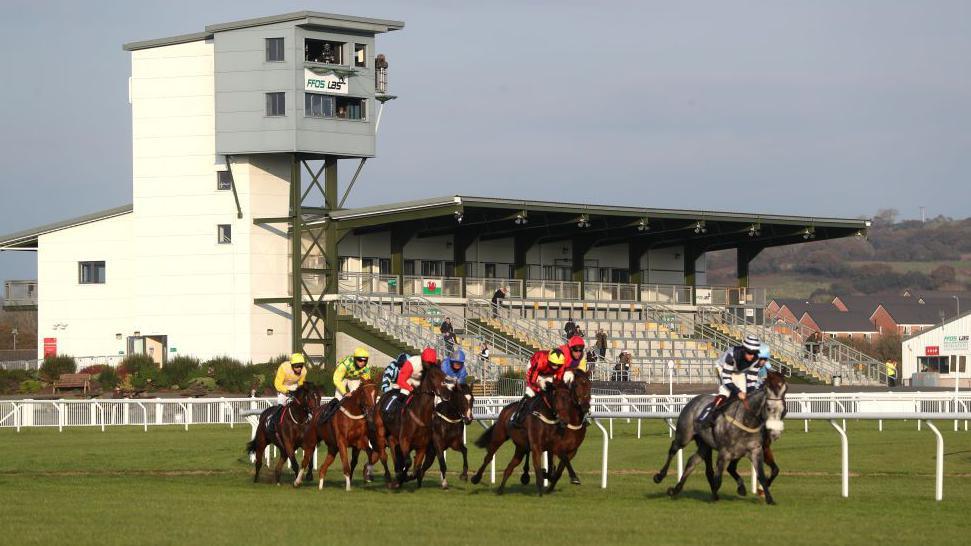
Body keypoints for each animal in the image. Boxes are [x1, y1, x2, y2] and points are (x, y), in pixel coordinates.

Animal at [652, 370, 788, 502]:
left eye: (784, 410)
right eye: (769, 408)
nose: (775, 434)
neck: (746, 419)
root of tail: (695, 399)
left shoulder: (756, 450)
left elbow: (763, 474)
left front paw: (768, 497)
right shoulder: (725, 452)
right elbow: (719, 478)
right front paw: (714, 496)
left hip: (704, 444)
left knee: (692, 461)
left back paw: (676, 489)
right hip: (684, 435)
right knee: (674, 448)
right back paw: (660, 476)